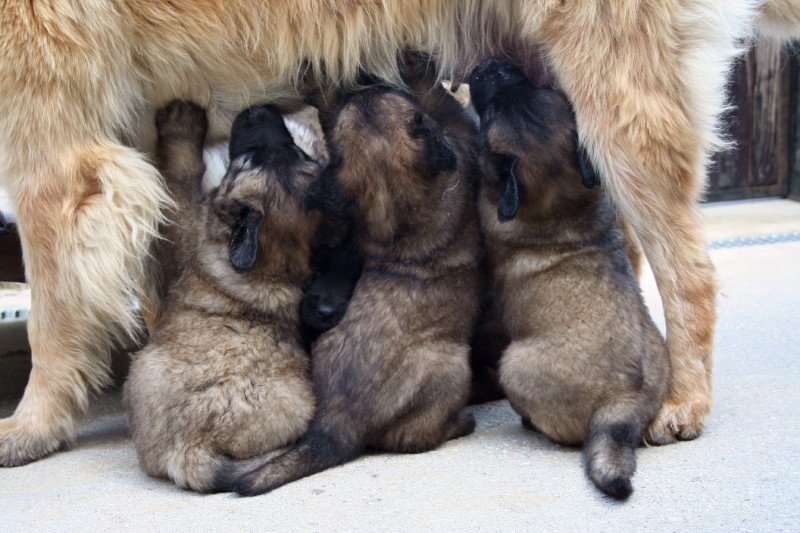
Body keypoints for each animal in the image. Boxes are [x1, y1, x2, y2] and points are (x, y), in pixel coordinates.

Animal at [125, 102, 322, 492]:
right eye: (298, 152)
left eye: (244, 162)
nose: (261, 108)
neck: (277, 266)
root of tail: (191, 451)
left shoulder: (182, 228)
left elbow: (181, 180)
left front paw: (181, 122)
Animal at [217, 83, 482, 494]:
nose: (367, 84)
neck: (392, 197)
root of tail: (336, 423)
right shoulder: (463, 152)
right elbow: (447, 109)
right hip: (453, 369)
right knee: (410, 439)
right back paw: (461, 424)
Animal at [472, 59, 672, 498]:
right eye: (538, 87)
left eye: (490, 116)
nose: (493, 65)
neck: (562, 202)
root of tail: (625, 401)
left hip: (514, 364)